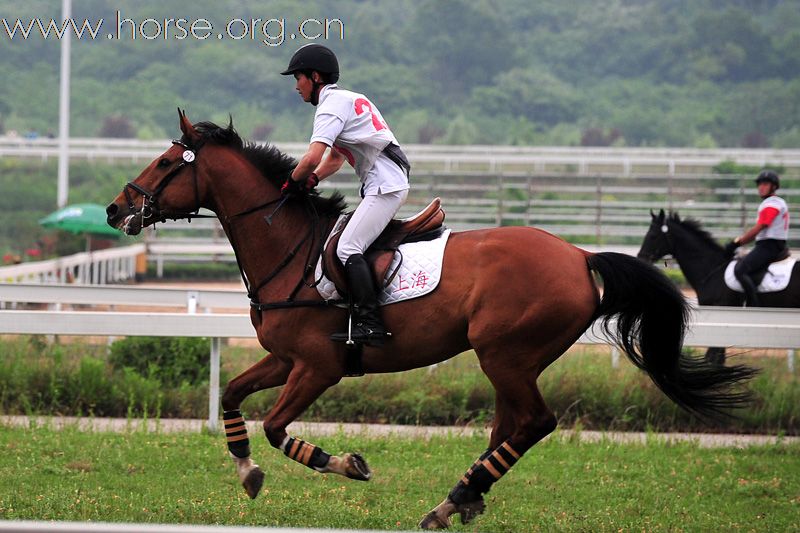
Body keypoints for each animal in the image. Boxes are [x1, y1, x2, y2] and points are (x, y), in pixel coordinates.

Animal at [106, 112, 756, 528]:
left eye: (166, 161)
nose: (115, 209)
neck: (286, 245)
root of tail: (579, 255)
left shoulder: (317, 367)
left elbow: (275, 426)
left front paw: (344, 464)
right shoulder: (285, 358)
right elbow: (233, 398)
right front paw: (246, 471)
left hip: (505, 354)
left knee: (535, 422)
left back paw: (456, 497)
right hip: (511, 360)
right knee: (510, 425)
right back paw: (462, 498)